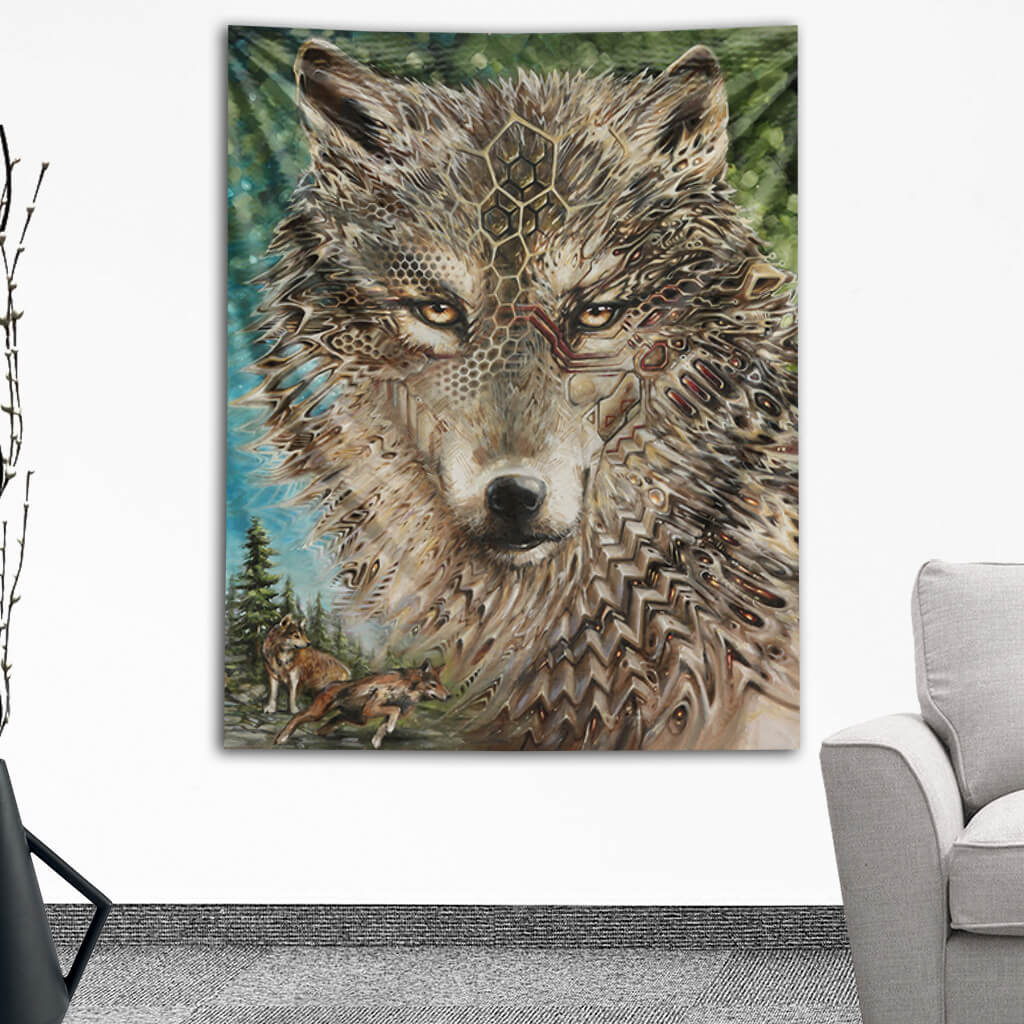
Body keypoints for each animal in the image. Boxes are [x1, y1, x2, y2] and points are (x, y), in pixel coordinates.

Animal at [274, 662, 450, 748]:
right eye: (433, 685)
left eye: (441, 684)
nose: (449, 695)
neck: (404, 689)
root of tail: (329, 685)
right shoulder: (371, 709)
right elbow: (394, 710)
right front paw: (390, 729)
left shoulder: (379, 714)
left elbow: (384, 725)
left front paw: (377, 741)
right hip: (317, 714)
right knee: (297, 716)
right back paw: (281, 738)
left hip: (354, 719)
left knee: (324, 727)